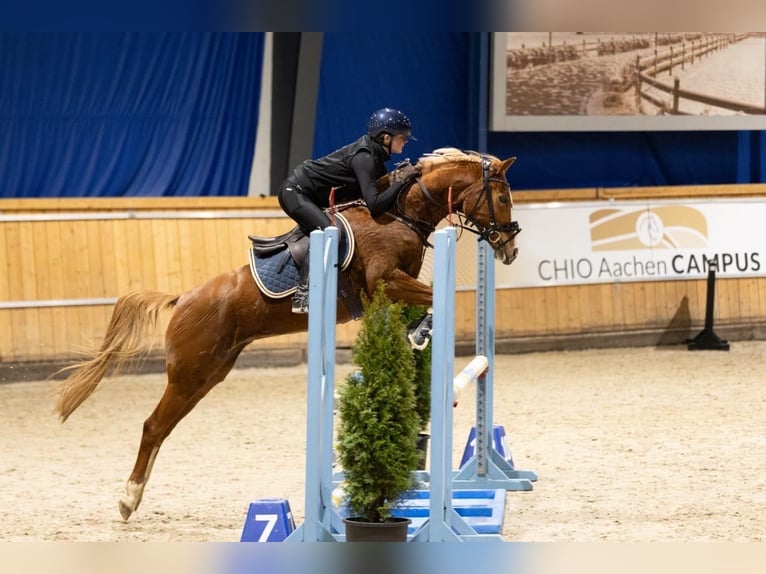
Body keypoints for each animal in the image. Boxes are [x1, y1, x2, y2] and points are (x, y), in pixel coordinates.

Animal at [54, 147, 521, 521]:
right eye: (501, 197)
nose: (510, 249)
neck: (398, 212)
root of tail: (183, 298)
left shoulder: (392, 287)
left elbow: (424, 304)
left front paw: (416, 332)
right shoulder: (385, 281)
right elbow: (437, 297)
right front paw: (422, 330)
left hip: (208, 375)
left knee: (163, 428)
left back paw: (134, 496)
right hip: (189, 373)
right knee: (152, 426)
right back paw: (127, 499)